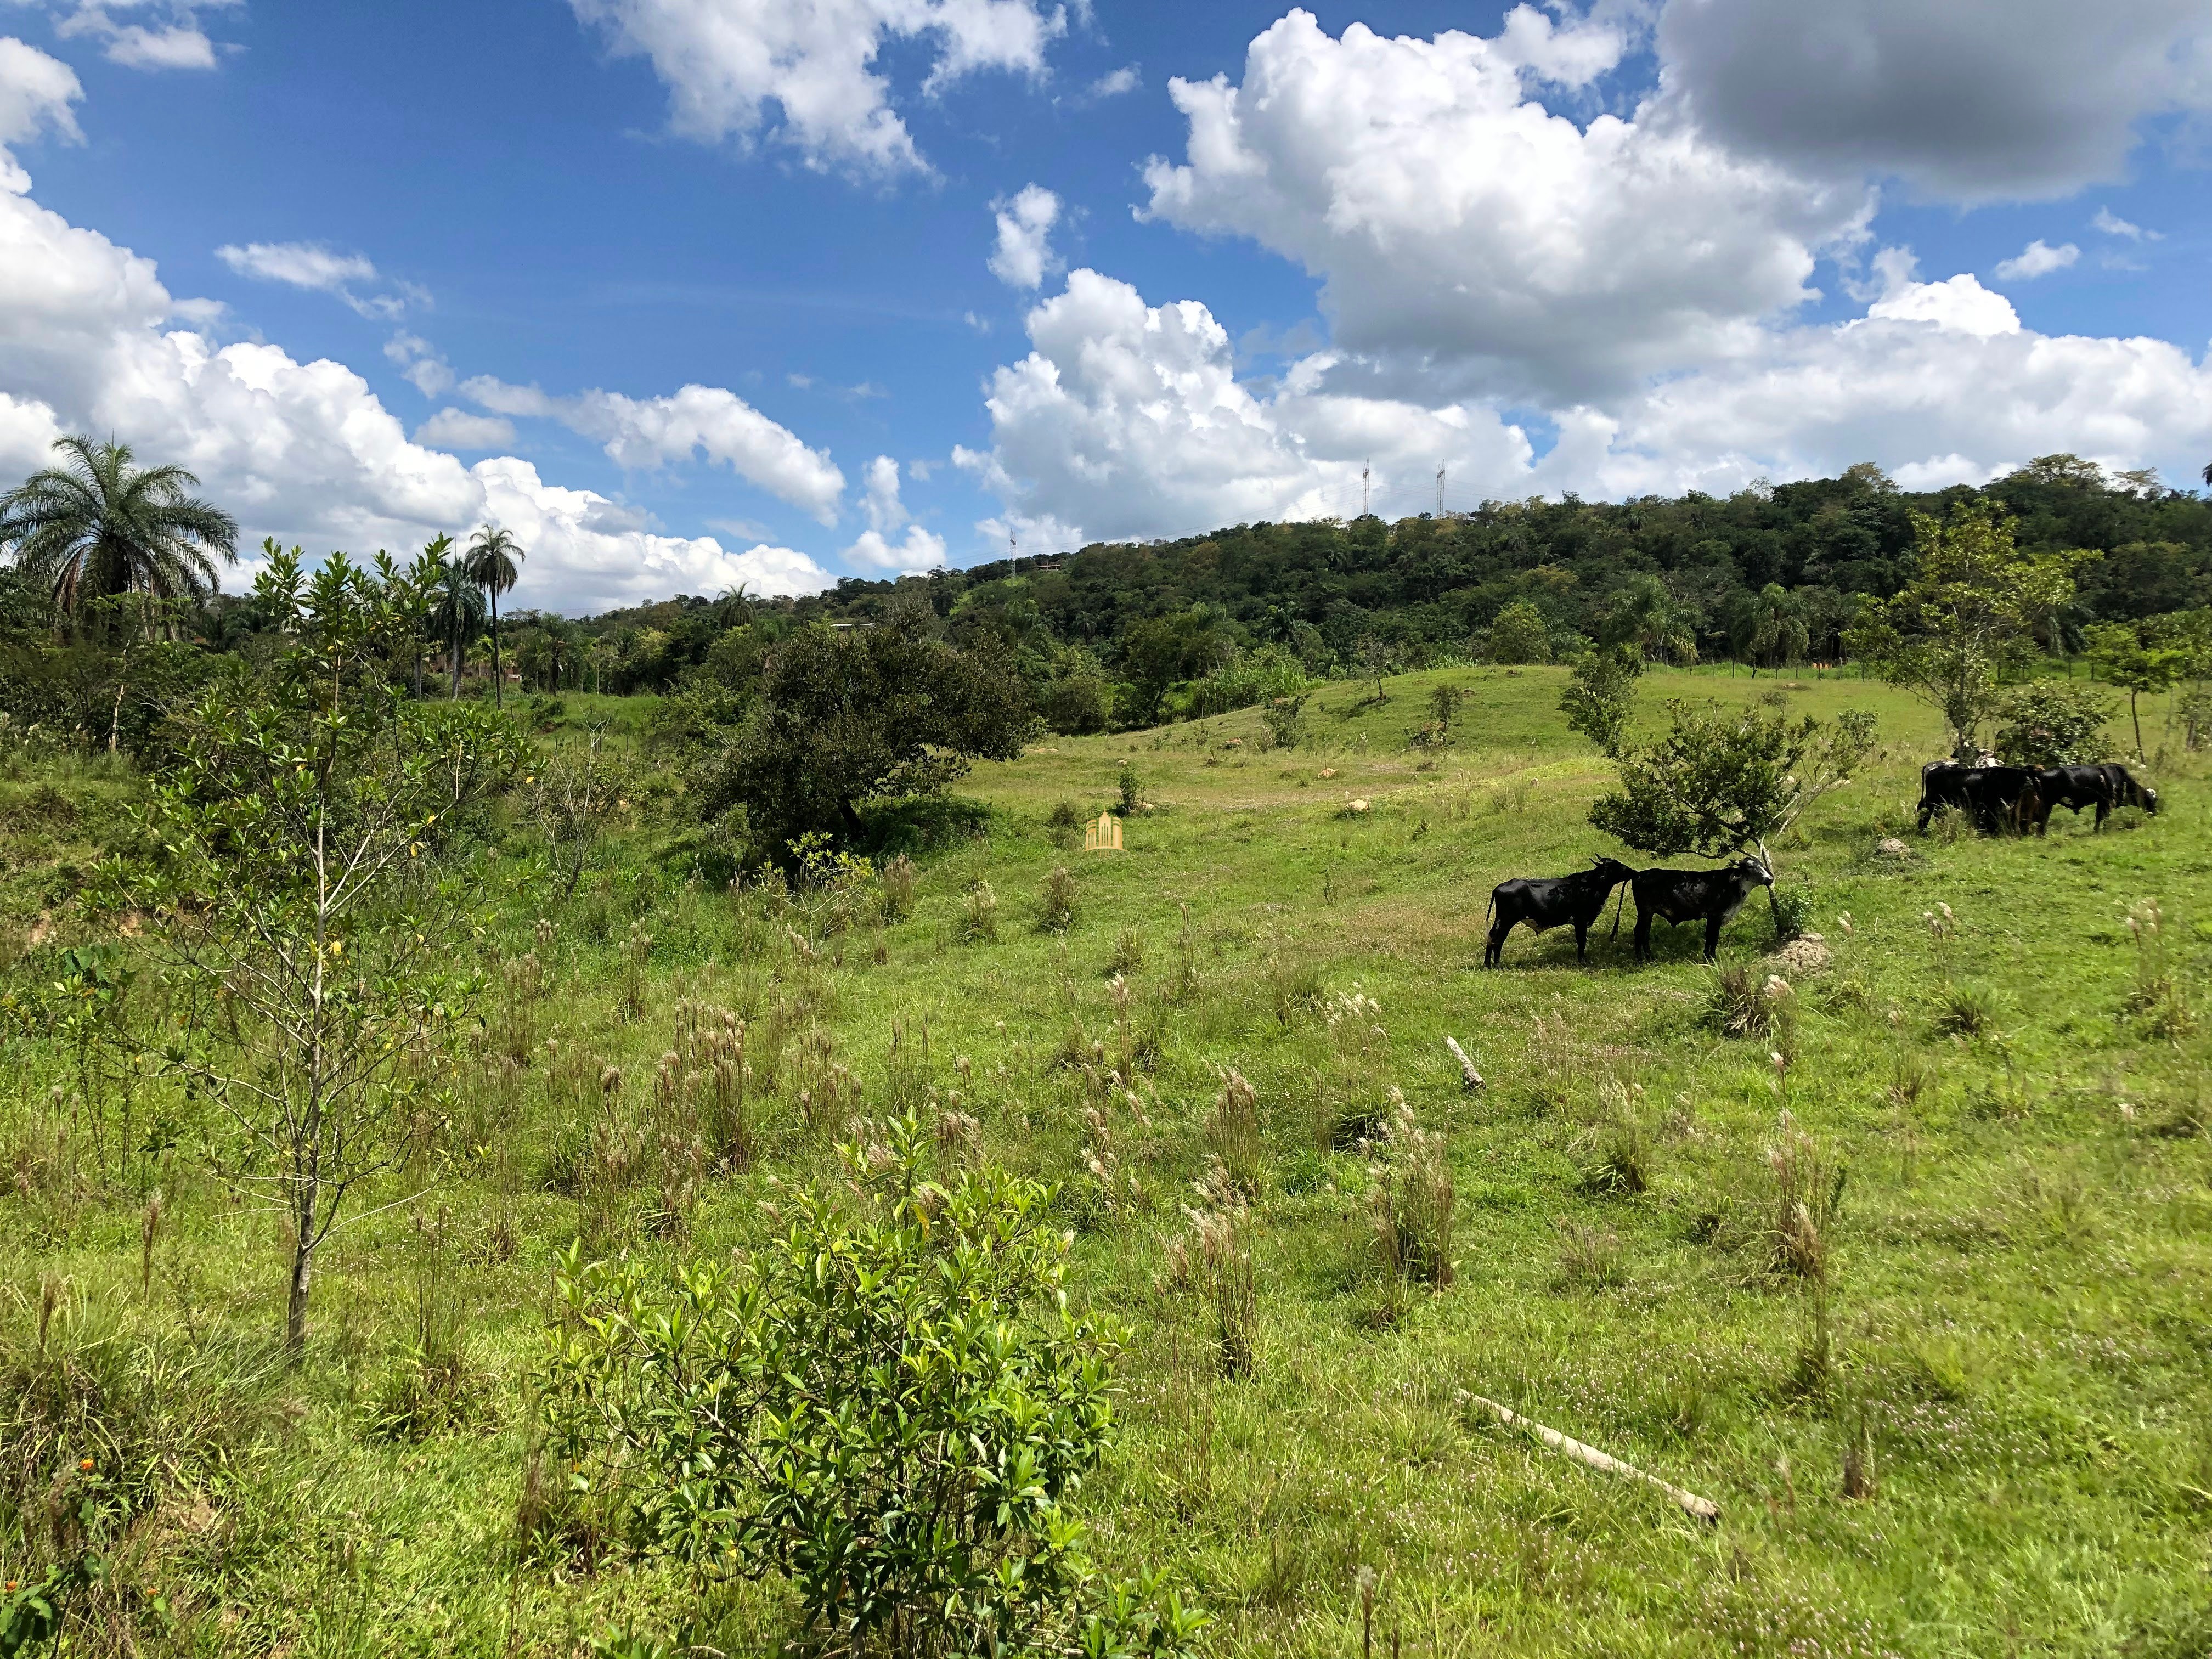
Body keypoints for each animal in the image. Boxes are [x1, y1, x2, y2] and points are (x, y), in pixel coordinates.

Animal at [1477, 858, 1637, 973]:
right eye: (1617, 866)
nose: (1633, 871)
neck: (1590, 885)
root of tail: (1500, 887)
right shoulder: (1581, 920)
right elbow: (1581, 941)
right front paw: (1583, 961)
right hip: (1507, 920)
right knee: (1498, 939)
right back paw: (1497, 966)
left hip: (1500, 920)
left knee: (1492, 937)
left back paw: (1487, 965)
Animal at [1628, 862, 1778, 969]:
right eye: (1751, 866)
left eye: (1761, 864)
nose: (1770, 879)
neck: (1732, 887)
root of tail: (1638, 874)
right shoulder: (1714, 917)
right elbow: (1712, 938)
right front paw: (1711, 959)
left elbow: (1711, 938)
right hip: (1645, 911)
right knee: (1640, 932)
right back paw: (1642, 960)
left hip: (1647, 913)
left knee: (1644, 932)